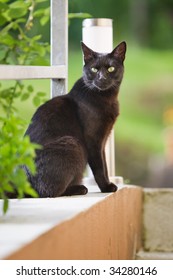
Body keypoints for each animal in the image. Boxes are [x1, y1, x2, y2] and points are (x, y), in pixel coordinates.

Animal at [23, 41, 126, 198]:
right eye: (94, 69)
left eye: (111, 68)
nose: (101, 78)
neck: (107, 98)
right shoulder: (93, 140)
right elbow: (99, 167)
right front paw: (106, 187)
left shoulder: (102, 141)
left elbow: (105, 165)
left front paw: (108, 184)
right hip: (72, 143)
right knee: (49, 192)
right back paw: (79, 188)